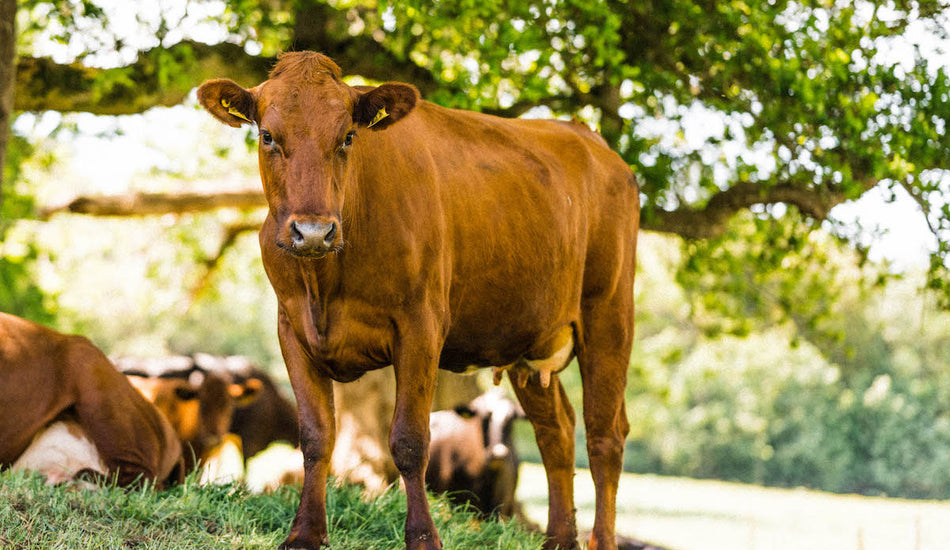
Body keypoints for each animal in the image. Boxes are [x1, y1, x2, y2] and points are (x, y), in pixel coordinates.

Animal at [197, 51, 640, 550]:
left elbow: (410, 441)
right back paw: (559, 539)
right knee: (557, 432)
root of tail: (591, 140)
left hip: (609, 315)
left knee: (605, 436)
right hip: (530, 338)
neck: (326, 283)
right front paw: (305, 534)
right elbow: (315, 436)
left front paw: (424, 537)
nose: (312, 232)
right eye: (268, 135)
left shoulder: (420, 325)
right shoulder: (292, 329)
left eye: (348, 136)